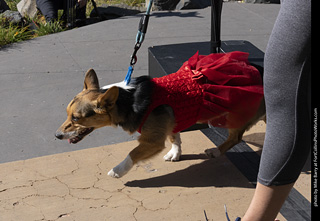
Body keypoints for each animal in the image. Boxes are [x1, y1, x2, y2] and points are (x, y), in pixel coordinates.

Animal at [55, 51, 264, 178]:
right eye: (67, 114)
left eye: (76, 118)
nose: (56, 135)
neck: (129, 100)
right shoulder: (173, 122)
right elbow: (175, 138)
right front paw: (175, 153)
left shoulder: (152, 141)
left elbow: (132, 153)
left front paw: (118, 170)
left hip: (236, 116)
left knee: (236, 137)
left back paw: (216, 150)